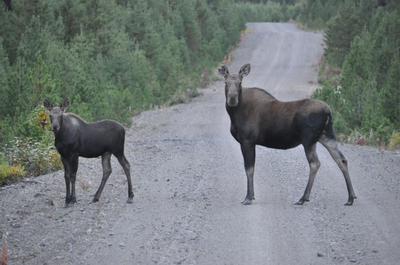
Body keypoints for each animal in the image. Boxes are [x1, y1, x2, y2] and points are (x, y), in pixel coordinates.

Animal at [220, 63, 358, 205]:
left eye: (240, 82)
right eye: (225, 82)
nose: (232, 98)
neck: (234, 114)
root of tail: (328, 111)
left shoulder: (247, 141)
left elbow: (249, 169)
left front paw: (248, 197)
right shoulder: (248, 142)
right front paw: (251, 196)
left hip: (308, 140)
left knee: (315, 163)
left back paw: (303, 197)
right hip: (326, 136)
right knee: (341, 160)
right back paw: (350, 197)